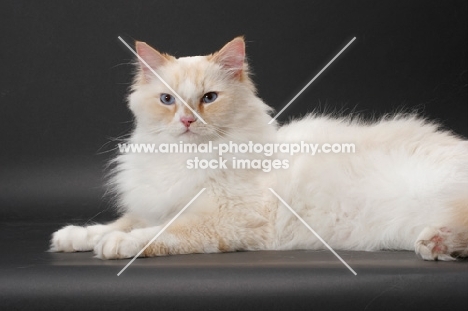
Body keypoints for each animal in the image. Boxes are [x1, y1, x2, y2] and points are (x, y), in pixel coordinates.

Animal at [49, 36, 466, 262]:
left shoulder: (221, 219)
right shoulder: (156, 204)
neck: (186, 157)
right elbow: (119, 223)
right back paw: (439, 243)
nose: (186, 121)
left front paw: (116, 245)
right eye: (167, 100)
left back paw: (437, 244)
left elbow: (157, 232)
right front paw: (74, 238)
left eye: (209, 98)